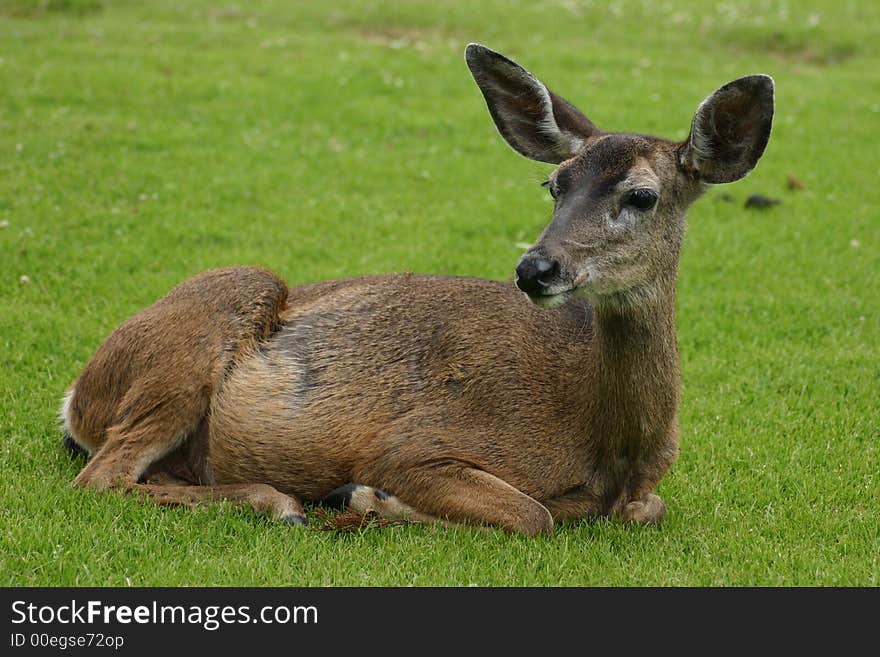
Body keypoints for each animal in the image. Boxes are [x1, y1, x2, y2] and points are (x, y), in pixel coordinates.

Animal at [60, 44, 768, 532]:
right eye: (554, 185)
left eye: (642, 196)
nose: (534, 269)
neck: (608, 447)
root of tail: (74, 400)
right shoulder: (417, 445)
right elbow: (532, 514)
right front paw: (363, 497)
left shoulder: (642, 491)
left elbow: (648, 509)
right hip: (210, 322)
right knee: (100, 478)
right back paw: (283, 502)